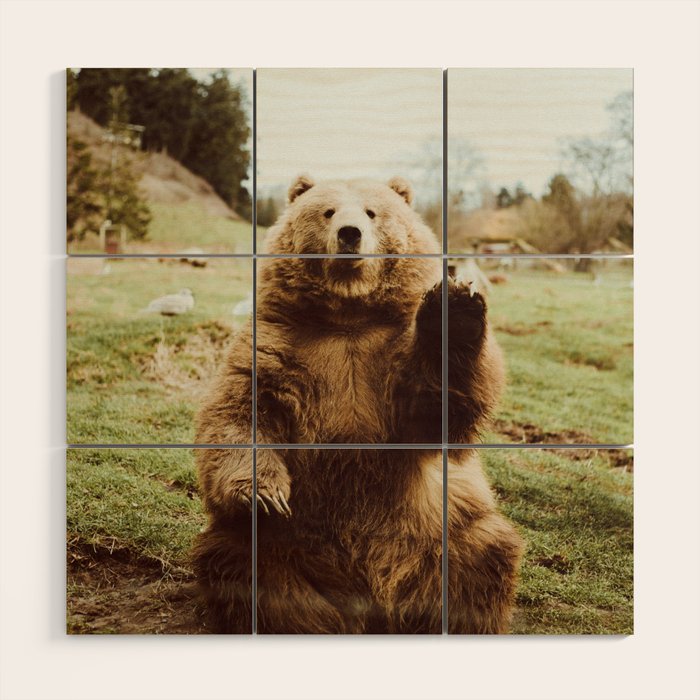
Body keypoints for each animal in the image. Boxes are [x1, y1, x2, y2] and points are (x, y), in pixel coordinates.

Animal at [192, 175, 523, 634]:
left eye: (371, 212)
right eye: (327, 211)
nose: (350, 234)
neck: (347, 317)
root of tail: (373, 601)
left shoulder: (387, 360)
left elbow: (437, 407)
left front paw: (455, 310)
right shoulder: (276, 347)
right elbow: (241, 412)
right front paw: (264, 495)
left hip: (441, 531)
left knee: (482, 557)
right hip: (284, 545)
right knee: (242, 565)